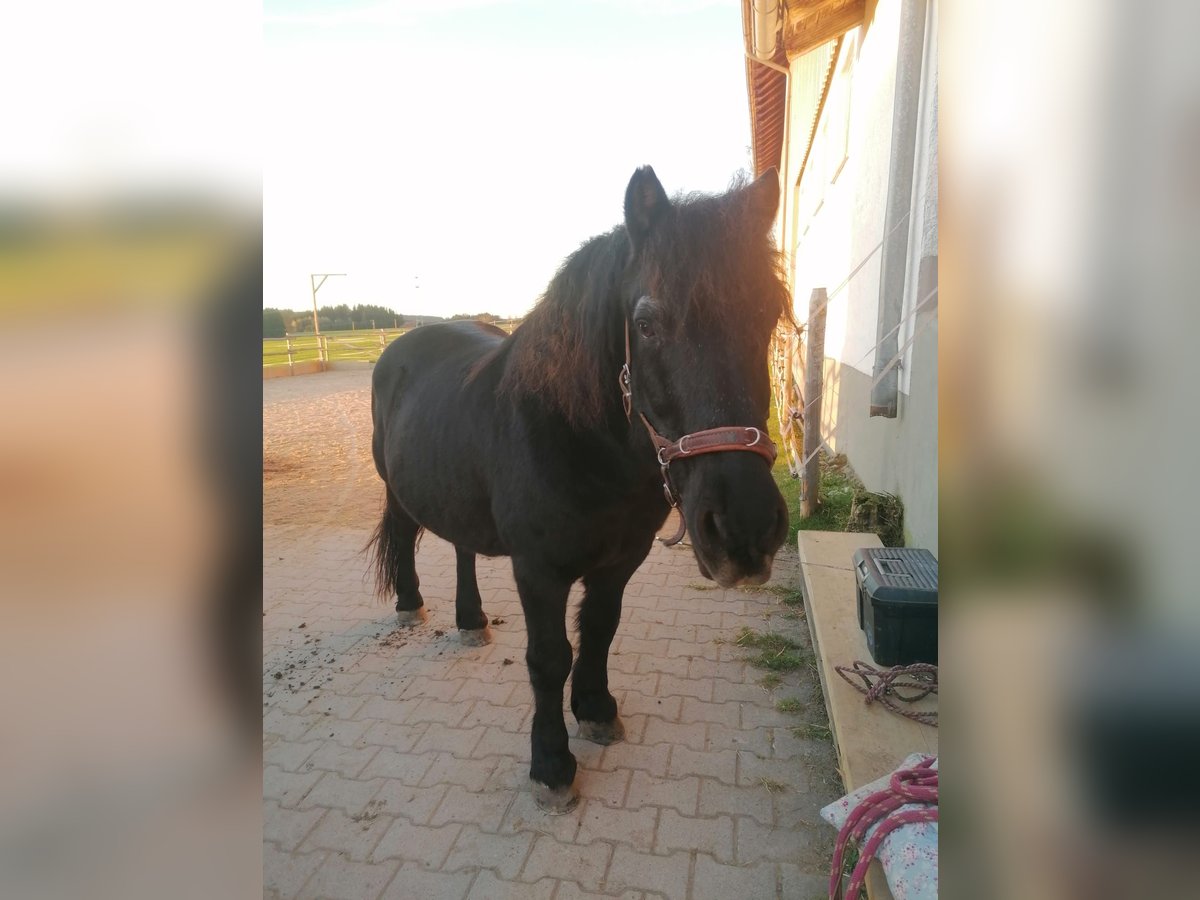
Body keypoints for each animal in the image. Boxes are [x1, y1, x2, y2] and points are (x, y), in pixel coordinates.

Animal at [369, 165, 792, 816]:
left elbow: (599, 628)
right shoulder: (538, 570)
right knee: (407, 533)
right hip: (395, 487)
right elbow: (549, 659)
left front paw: (595, 710)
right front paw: (551, 765)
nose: (745, 530)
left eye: (768, 312)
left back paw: (471, 619)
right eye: (646, 324)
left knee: (461, 545)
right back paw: (412, 603)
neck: (579, 440)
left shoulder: (621, 560)